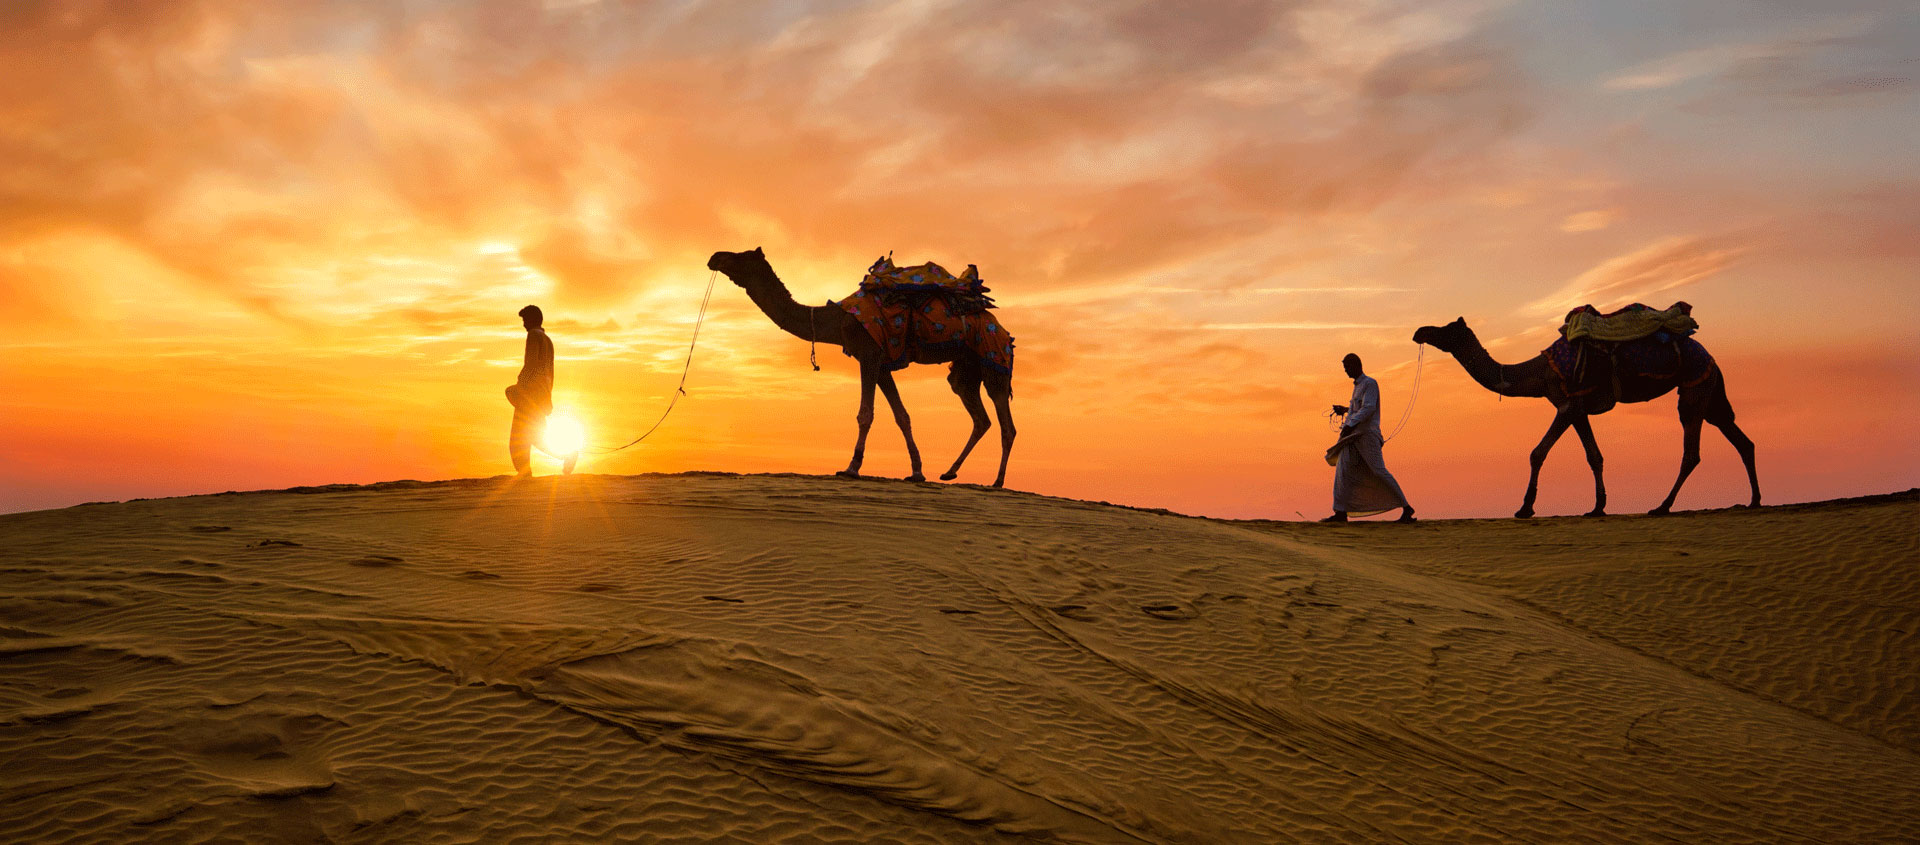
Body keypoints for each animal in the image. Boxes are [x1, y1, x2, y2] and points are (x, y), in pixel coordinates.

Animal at [707, 248, 1015, 487]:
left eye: (741, 256)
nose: (714, 257)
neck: (837, 320)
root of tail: (1003, 330)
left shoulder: (868, 354)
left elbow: (865, 413)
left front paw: (851, 467)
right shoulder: (882, 362)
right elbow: (902, 415)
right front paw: (917, 472)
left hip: (994, 358)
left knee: (1006, 424)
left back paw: (998, 481)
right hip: (966, 369)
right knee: (979, 416)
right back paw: (950, 472)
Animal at [1411, 317, 1759, 517]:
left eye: (1447, 329)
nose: (1419, 332)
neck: (1538, 372)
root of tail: (1711, 357)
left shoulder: (1567, 405)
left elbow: (1537, 453)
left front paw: (1525, 508)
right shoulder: (1577, 408)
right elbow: (1594, 456)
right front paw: (1597, 507)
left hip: (1692, 389)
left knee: (1691, 452)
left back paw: (1662, 507)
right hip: (1708, 392)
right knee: (1742, 441)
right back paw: (1754, 501)